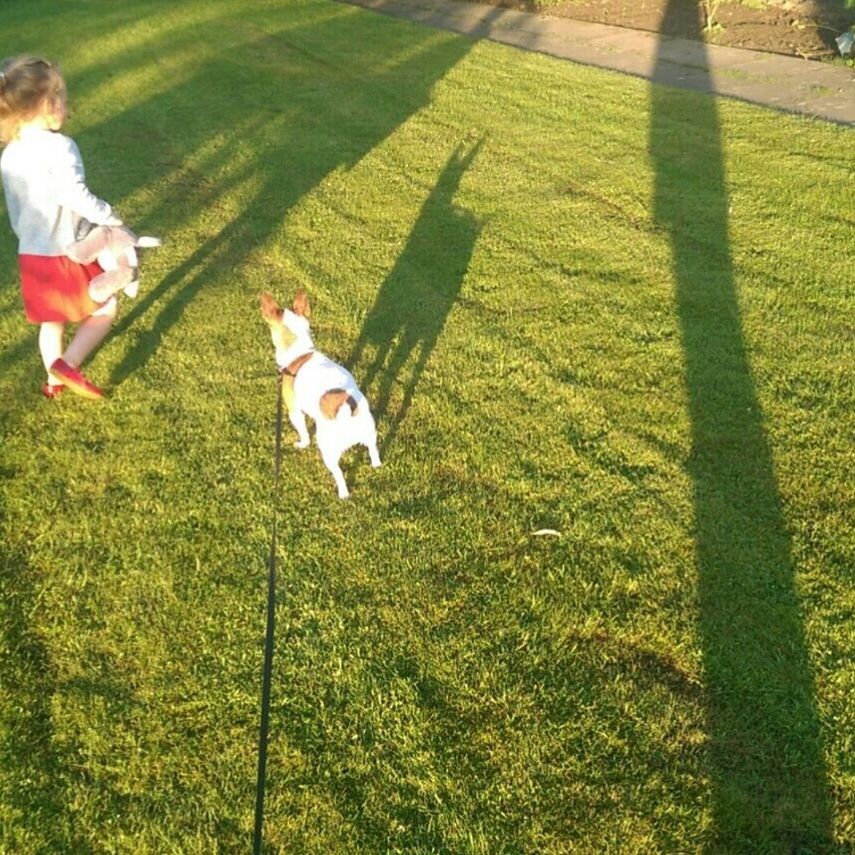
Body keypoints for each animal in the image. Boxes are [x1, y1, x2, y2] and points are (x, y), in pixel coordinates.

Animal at [260, 290, 382, 498]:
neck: (301, 354)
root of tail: (346, 412)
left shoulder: (294, 411)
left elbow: (302, 431)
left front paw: (302, 444)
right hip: (370, 432)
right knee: (373, 450)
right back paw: (376, 465)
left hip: (328, 451)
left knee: (338, 473)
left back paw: (343, 494)